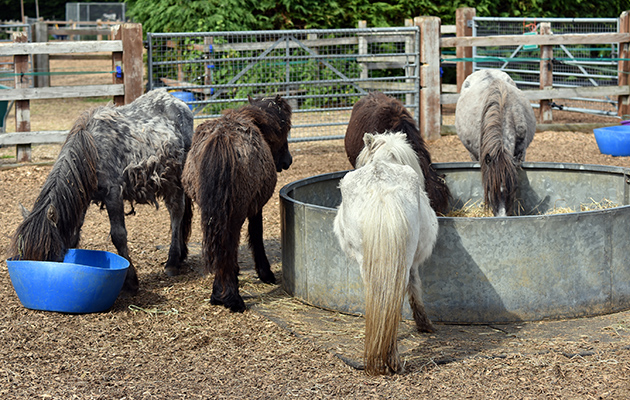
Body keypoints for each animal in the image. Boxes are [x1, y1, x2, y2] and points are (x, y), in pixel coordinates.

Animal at [181, 94, 292, 312]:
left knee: (219, 246)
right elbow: (256, 235)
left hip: (213, 213)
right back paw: (231, 297)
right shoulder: (256, 208)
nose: (287, 161)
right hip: (235, 213)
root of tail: (222, 139)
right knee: (228, 245)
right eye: (286, 128)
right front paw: (265, 273)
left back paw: (219, 293)